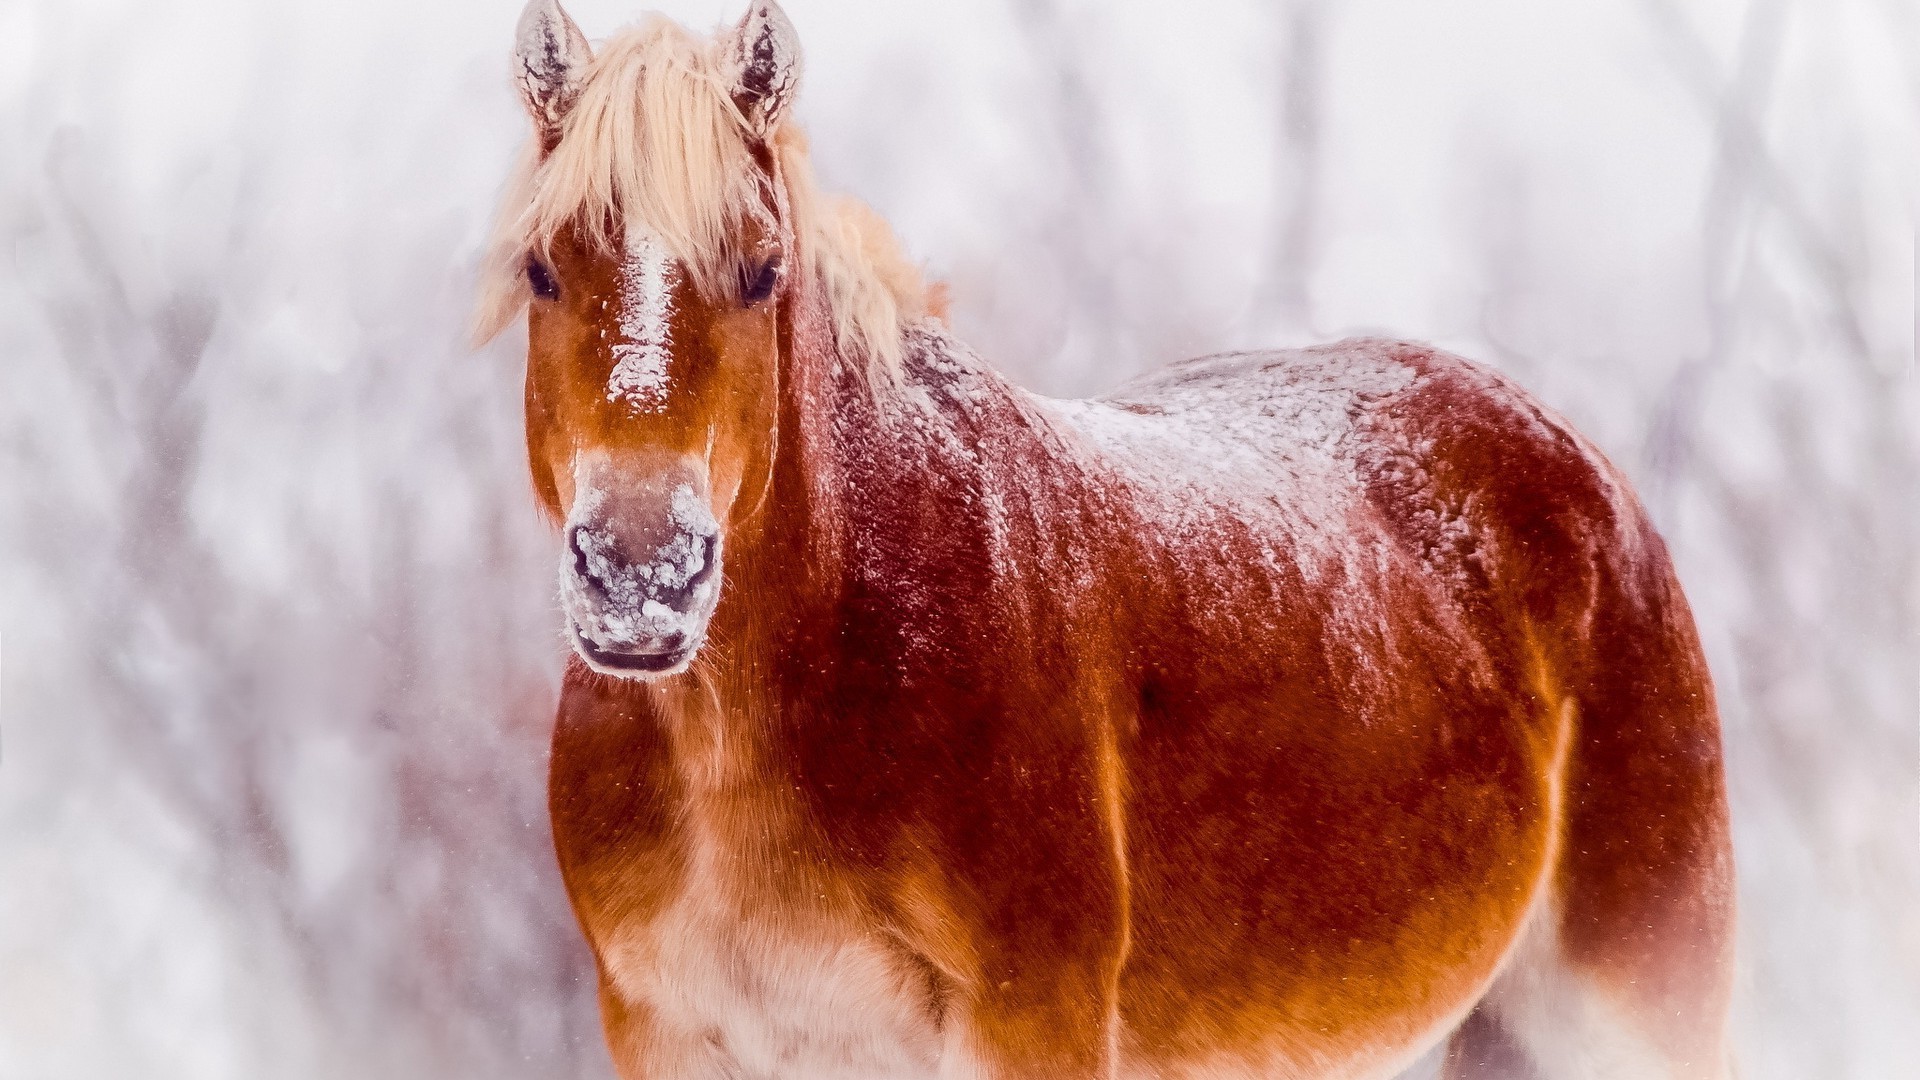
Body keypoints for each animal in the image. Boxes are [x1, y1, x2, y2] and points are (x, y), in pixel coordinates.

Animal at [476, 4, 1743, 1068]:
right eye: (544, 269)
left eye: (761, 270)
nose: (640, 574)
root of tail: (1584, 475)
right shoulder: (667, 1027)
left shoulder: (1033, 1017)